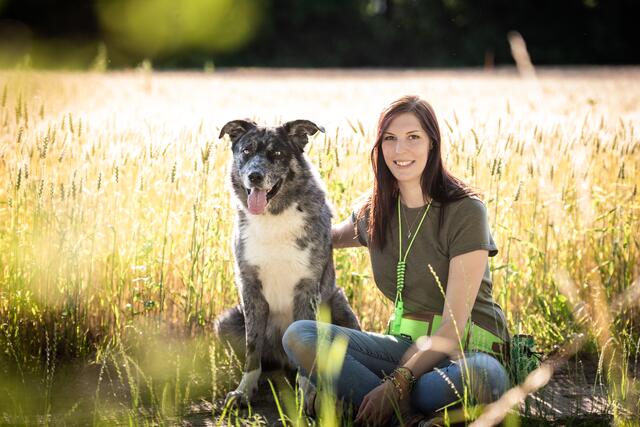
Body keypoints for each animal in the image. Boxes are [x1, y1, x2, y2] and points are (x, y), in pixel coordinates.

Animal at [215, 119, 362, 404]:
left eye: (277, 153)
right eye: (246, 150)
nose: (255, 176)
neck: (274, 216)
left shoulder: (308, 289)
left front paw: (306, 394)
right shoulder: (249, 287)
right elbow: (252, 347)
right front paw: (244, 391)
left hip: (341, 308)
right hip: (227, 321)